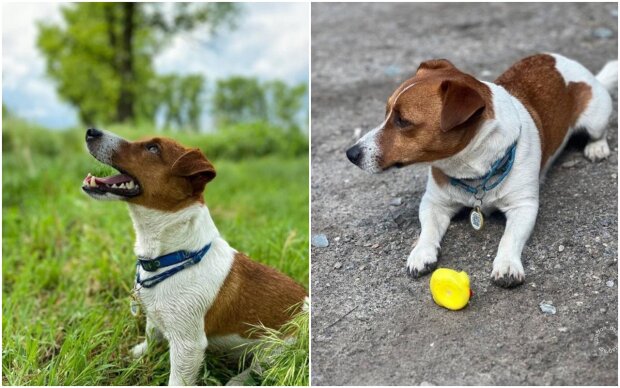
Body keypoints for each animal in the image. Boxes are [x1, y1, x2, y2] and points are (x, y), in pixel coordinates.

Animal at [80, 128, 308, 384]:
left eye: (153, 149)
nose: (91, 131)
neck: (173, 255)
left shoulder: (188, 346)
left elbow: (177, 380)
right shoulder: (154, 319)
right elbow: (150, 337)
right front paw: (136, 354)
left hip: (274, 350)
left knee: (257, 368)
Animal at [346, 52, 616, 288]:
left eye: (403, 121)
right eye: (387, 113)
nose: (351, 154)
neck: (470, 167)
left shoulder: (524, 206)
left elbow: (509, 238)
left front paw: (507, 265)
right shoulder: (434, 203)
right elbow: (428, 229)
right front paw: (421, 252)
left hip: (595, 118)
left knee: (598, 133)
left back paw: (597, 147)